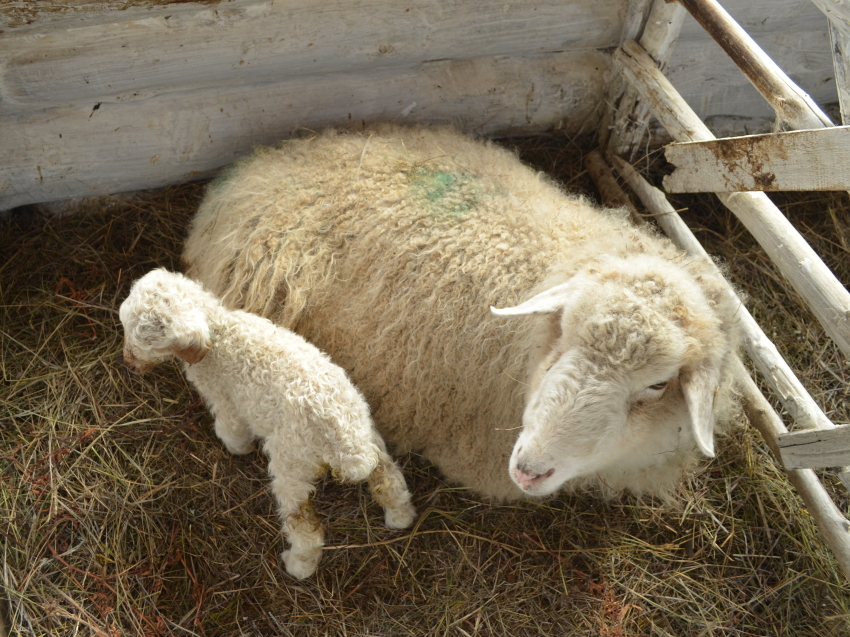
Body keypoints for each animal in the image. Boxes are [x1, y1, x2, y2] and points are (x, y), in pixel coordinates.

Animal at [117, 268, 416, 576]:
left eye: (147, 342)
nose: (128, 363)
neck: (219, 332)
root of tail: (347, 447)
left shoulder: (225, 398)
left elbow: (231, 428)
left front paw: (237, 448)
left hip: (292, 463)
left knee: (305, 526)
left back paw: (298, 566)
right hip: (368, 434)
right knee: (389, 480)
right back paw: (400, 518)